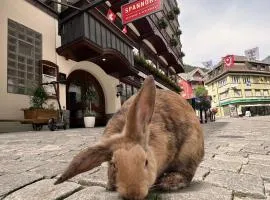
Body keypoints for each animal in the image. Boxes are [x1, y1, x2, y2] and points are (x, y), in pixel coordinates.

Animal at [54, 75, 202, 200]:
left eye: (146, 161)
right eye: (114, 165)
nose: (133, 194)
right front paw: (110, 186)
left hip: (189, 151)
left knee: (187, 172)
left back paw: (169, 182)